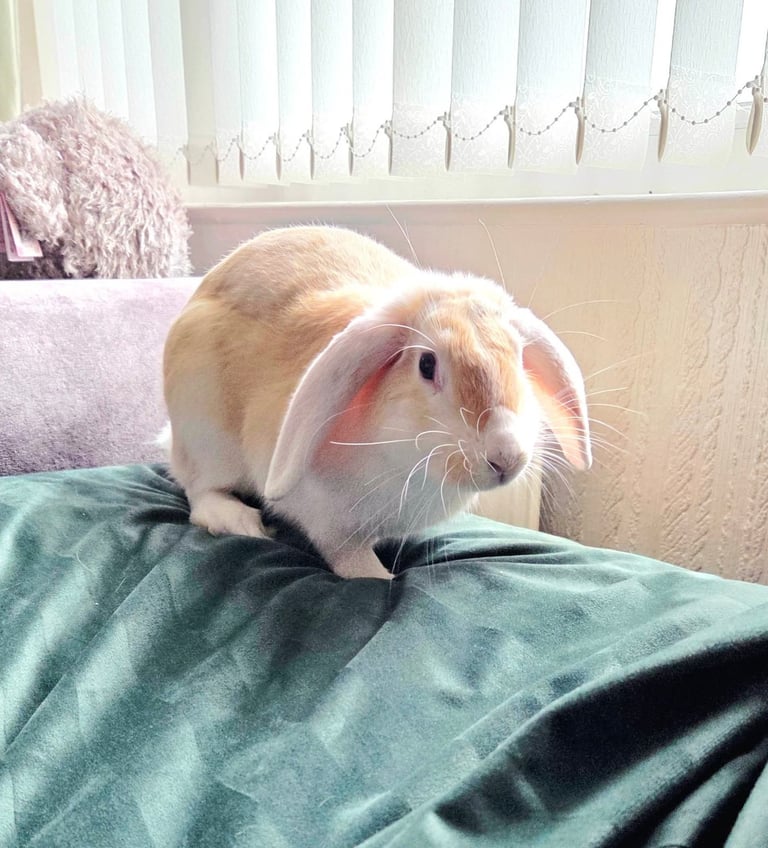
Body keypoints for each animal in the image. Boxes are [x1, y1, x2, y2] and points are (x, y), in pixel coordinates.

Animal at [163, 225, 591, 580]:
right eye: (427, 364)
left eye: (519, 356)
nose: (506, 458)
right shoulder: (327, 520)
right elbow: (349, 559)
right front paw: (380, 577)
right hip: (205, 435)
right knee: (198, 492)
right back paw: (239, 520)